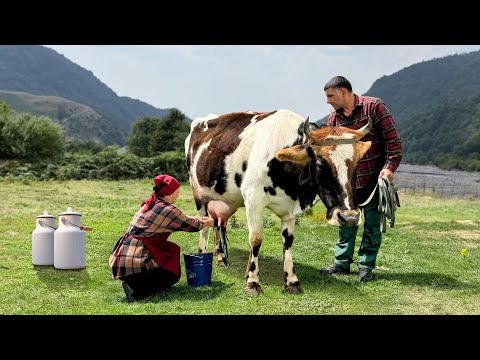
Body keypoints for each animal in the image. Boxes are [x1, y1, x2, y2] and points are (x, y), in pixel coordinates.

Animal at [184, 109, 372, 296]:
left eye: (358, 163)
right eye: (319, 162)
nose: (350, 217)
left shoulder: (289, 208)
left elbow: (288, 241)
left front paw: (291, 281)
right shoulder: (253, 200)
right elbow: (255, 239)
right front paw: (253, 283)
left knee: (217, 223)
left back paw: (221, 258)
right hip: (198, 193)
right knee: (204, 224)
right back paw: (203, 253)